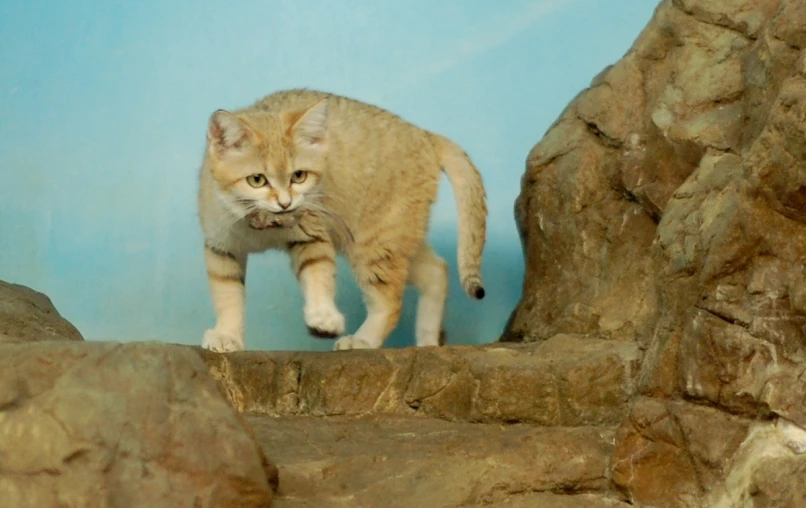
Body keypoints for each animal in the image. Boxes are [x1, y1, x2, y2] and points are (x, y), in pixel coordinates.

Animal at [199, 89, 490, 352]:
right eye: (257, 180)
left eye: (299, 176)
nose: (285, 203)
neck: (263, 227)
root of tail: (425, 135)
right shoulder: (222, 248)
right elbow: (227, 296)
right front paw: (227, 335)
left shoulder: (311, 233)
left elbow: (318, 275)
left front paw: (323, 317)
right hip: (397, 238)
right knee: (437, 270)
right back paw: (427, 342)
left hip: (375, 242)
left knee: (390, 302)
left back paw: (364, 340)